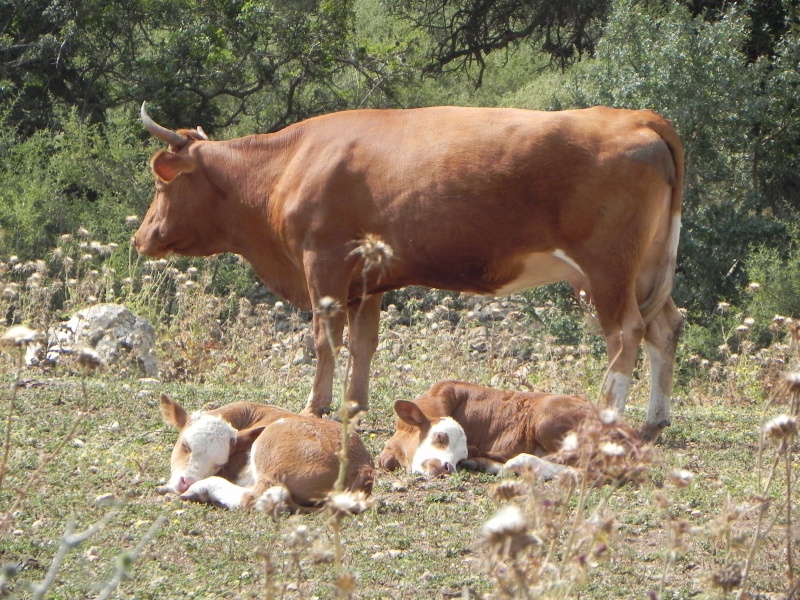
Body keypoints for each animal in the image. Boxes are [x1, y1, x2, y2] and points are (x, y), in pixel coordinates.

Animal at [134, 104, 684, 440]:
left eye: (162, 186)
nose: (141, 238)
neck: (288, 163)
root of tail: (636, 117)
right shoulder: (368, 280)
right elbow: (363, 343)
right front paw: (354, 407)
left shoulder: (323, 263)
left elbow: (325, 339)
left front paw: (316, 406)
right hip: (643, 268)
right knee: (665, 326)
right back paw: (655, 420)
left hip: (607, 268)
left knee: (626, 333)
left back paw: (608, 416)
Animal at [160, 394, 378, 510]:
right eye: (185, 445)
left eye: (219, 464)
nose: (186, 482)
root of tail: (363, 464)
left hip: (269, 448)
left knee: (262, 494)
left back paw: (199, 490)